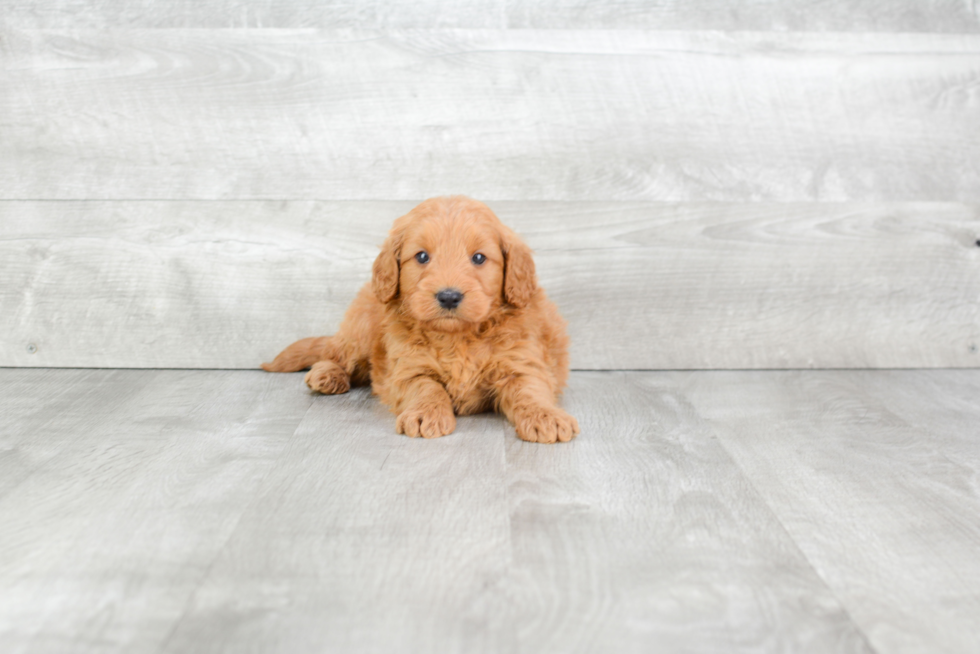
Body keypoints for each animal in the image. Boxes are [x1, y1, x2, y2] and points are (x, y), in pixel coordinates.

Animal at [264, 196, 580, 446]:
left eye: (479, 258)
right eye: (422, 256)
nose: (449, 296)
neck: (457, 337)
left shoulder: (523, 364)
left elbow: (530, 391)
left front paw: (546, 417)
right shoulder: (408, 369)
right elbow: (427, 388)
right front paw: (426, 413)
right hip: (361, 325)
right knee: (336, 352)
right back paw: (327, 374)